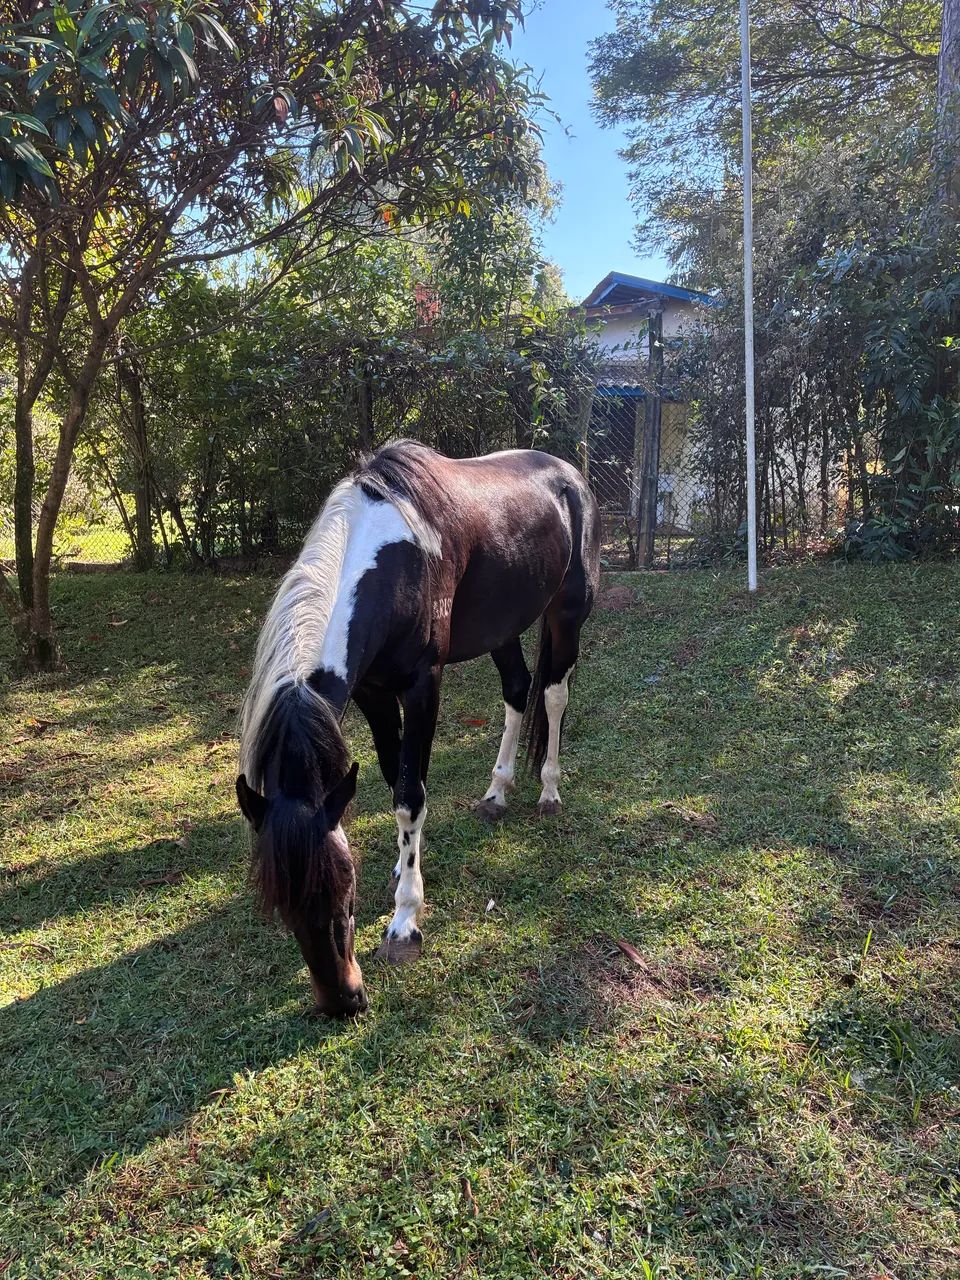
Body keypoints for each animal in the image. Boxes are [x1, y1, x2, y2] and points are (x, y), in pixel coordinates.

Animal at [236, 440, 600, 1016]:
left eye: (345, 890)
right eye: (280, 905)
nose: (342, 1000)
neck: (389, 559)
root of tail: (569, 474)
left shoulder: (422, 684)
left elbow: (410, 794)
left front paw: (405, 919)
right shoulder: (372, 692)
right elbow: (392, 776)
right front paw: (400, 866)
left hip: (566, 617)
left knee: (553, 695)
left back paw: (548, 790)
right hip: (502, 626)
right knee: (517, 691)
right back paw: (497, 792)